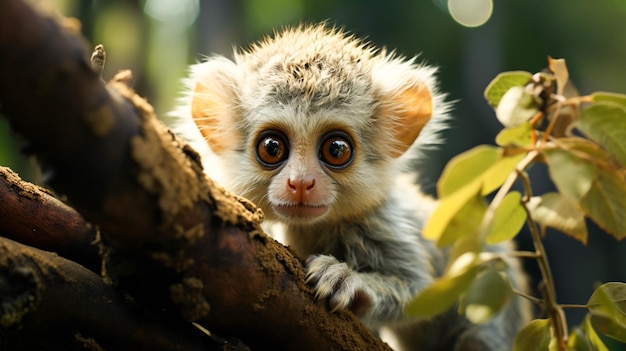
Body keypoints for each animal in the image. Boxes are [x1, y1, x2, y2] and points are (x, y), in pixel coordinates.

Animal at [172, 24, 532, 351]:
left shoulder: (382, 223)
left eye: (337, 150)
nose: (300, 183)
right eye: (272, 148)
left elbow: (422, 292)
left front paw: (348, 281)